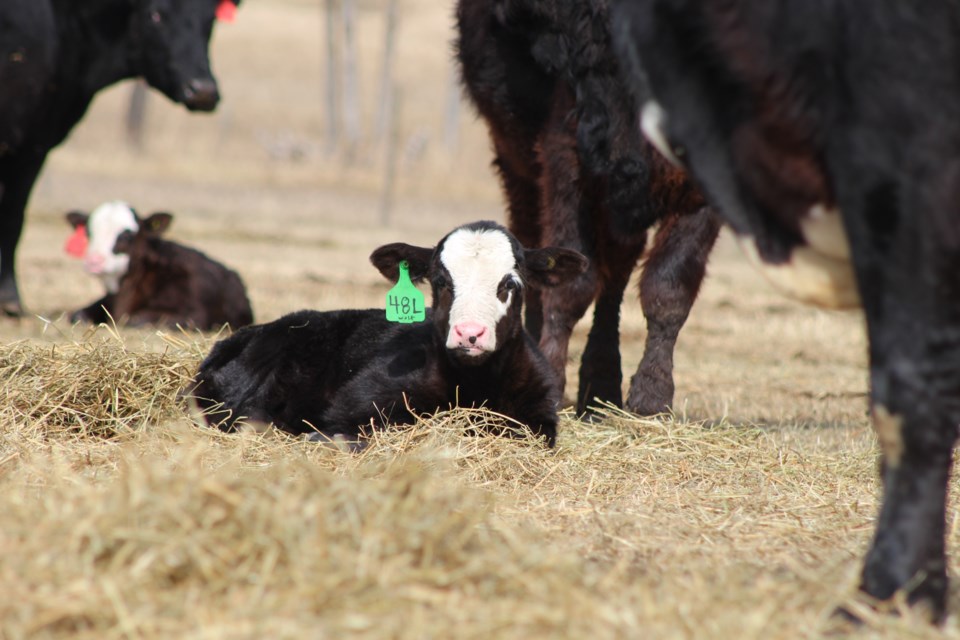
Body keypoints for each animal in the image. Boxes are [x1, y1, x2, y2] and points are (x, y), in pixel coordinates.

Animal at [0, 0, 239, 316]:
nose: (203, 91)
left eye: (211, 17)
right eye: (155, 14)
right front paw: (10, 298)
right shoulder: (32, 140)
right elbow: (13, 215)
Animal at [65, 202, 256, 330]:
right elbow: (78, 315)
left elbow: (134, 319)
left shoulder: (194, 315)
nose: (94, 261)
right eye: (88, 233)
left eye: (127, 235)